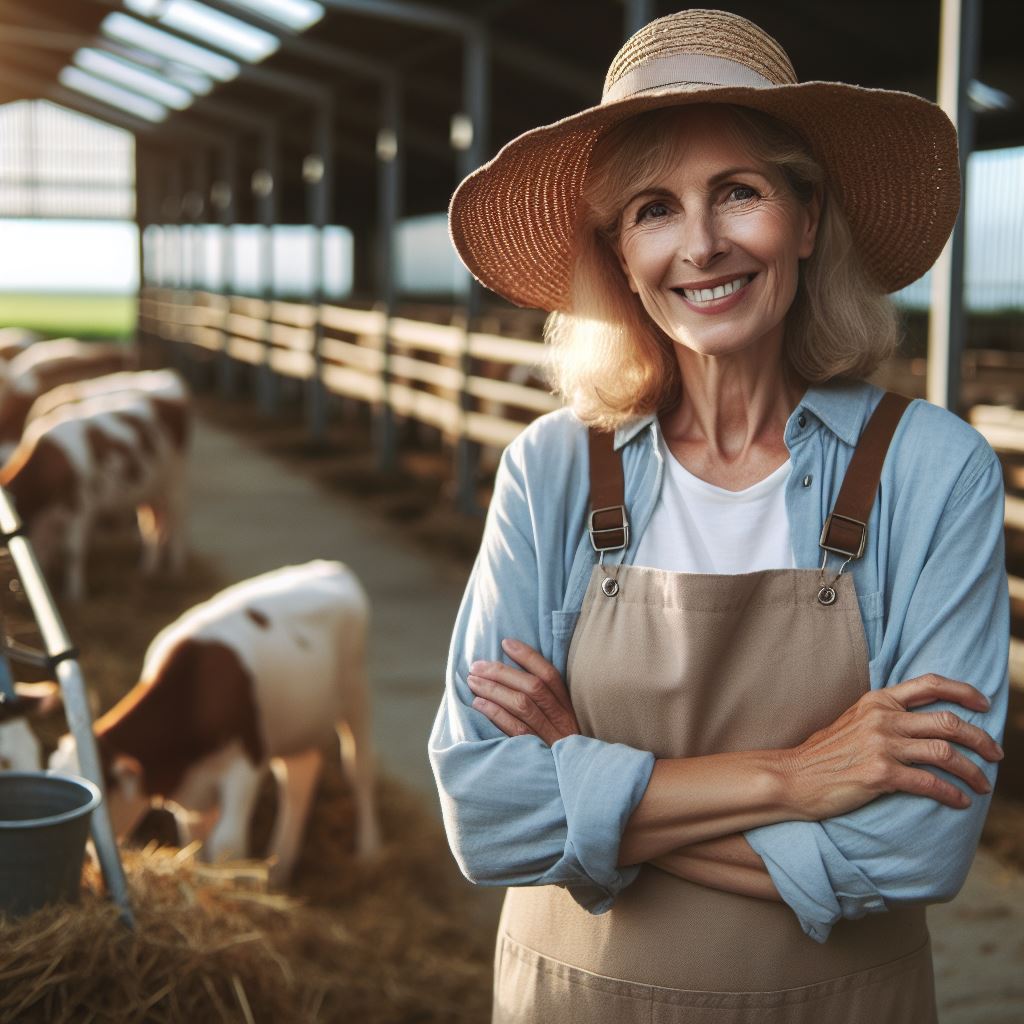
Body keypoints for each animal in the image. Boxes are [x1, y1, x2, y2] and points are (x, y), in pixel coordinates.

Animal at [0, 378, 190, 598]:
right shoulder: (43, 521)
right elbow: (40, 553)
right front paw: (45, 583)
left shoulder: (80, 509)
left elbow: (72, 552)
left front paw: (75, 594)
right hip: (148, 488)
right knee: (152, 525)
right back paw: (148, 569)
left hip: (176, 480)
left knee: (178, 521)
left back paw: (176, 570)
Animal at [49, 561, 382, 888]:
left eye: (99, 797)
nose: (88, 863)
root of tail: (329, 567)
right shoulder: (192, 788)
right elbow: (195, 843)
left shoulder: (246, 762)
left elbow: (227, 843)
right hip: (298, 726)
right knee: (299, 780)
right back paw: (280, 870)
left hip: (356, 693)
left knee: (359, 769)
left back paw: (367, 854)